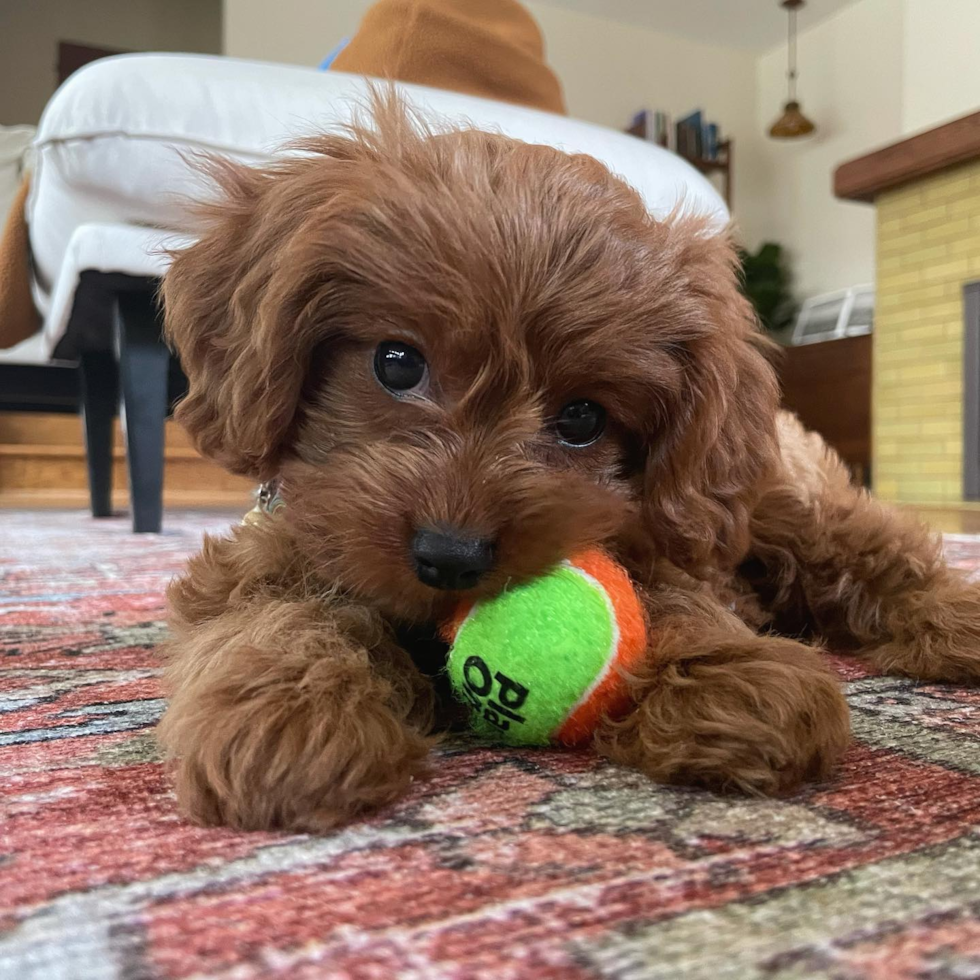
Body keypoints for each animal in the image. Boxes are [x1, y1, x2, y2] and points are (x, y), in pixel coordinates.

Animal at [157, 101, 980, 836]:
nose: (451, 556)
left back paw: (955, 625)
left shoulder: (657, 537)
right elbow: (274, 610)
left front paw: (727, 676)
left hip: (781, 507)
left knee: (881, 552)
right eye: (396, 363)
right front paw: (290, 713)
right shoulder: (273, 543)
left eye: (583, 418)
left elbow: (665, 595)